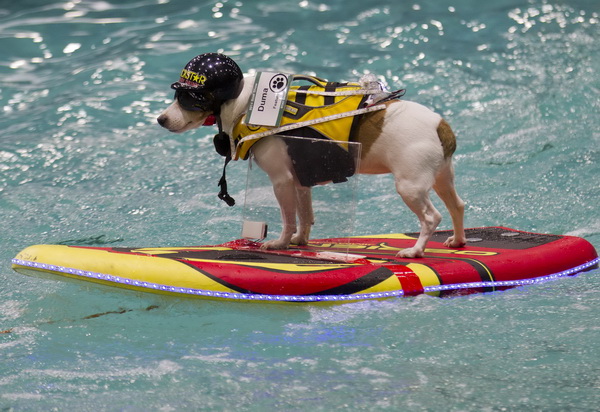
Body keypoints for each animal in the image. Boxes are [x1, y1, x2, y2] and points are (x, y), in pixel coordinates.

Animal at [157, 52, 466, 256]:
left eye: (187, 99)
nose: (160, 119)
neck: (247, 102)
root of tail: (442, 125)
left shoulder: (281, 181)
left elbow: (288, 218)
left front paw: (280, 243)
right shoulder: (300, 181)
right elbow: (304, 216)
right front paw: (299, 241)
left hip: (410, 187)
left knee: (431, 218)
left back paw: (415, 251)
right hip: (442, 179)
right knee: (457, 206)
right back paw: (458, 241)